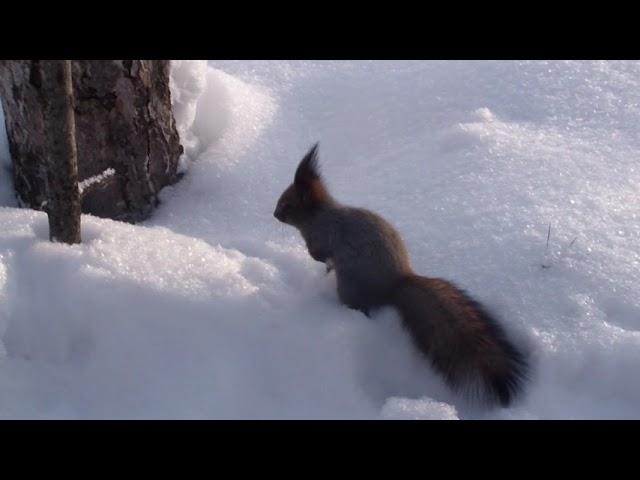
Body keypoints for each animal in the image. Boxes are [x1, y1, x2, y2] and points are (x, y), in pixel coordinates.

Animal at [276, 143, 528, 408]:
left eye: (287, 204)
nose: (274, 213)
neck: (319, 215)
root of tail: (395, 284)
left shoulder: (321, 238)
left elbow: (320, 254)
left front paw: (321, 263)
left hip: (349, 287)